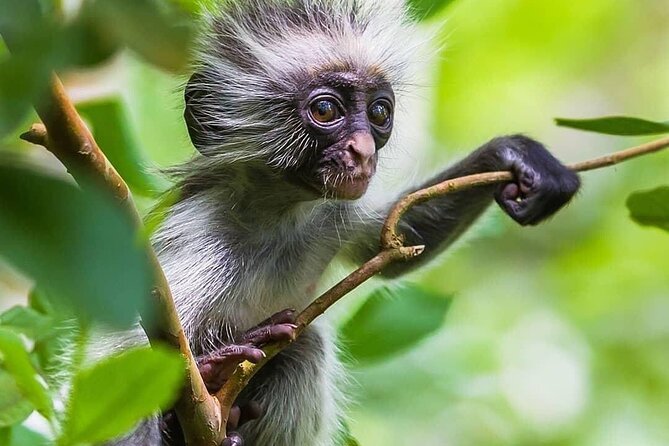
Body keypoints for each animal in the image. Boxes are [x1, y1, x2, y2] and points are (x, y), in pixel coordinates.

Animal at [109, 0, 580, 445]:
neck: (276, 215)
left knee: (304, 347)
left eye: (379, 113)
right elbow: (121, 353)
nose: (364, 150)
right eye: (326, 109)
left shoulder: (332, 209)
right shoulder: (200, 232)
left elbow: (390, 245)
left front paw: (513, 155)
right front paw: (210, 368)